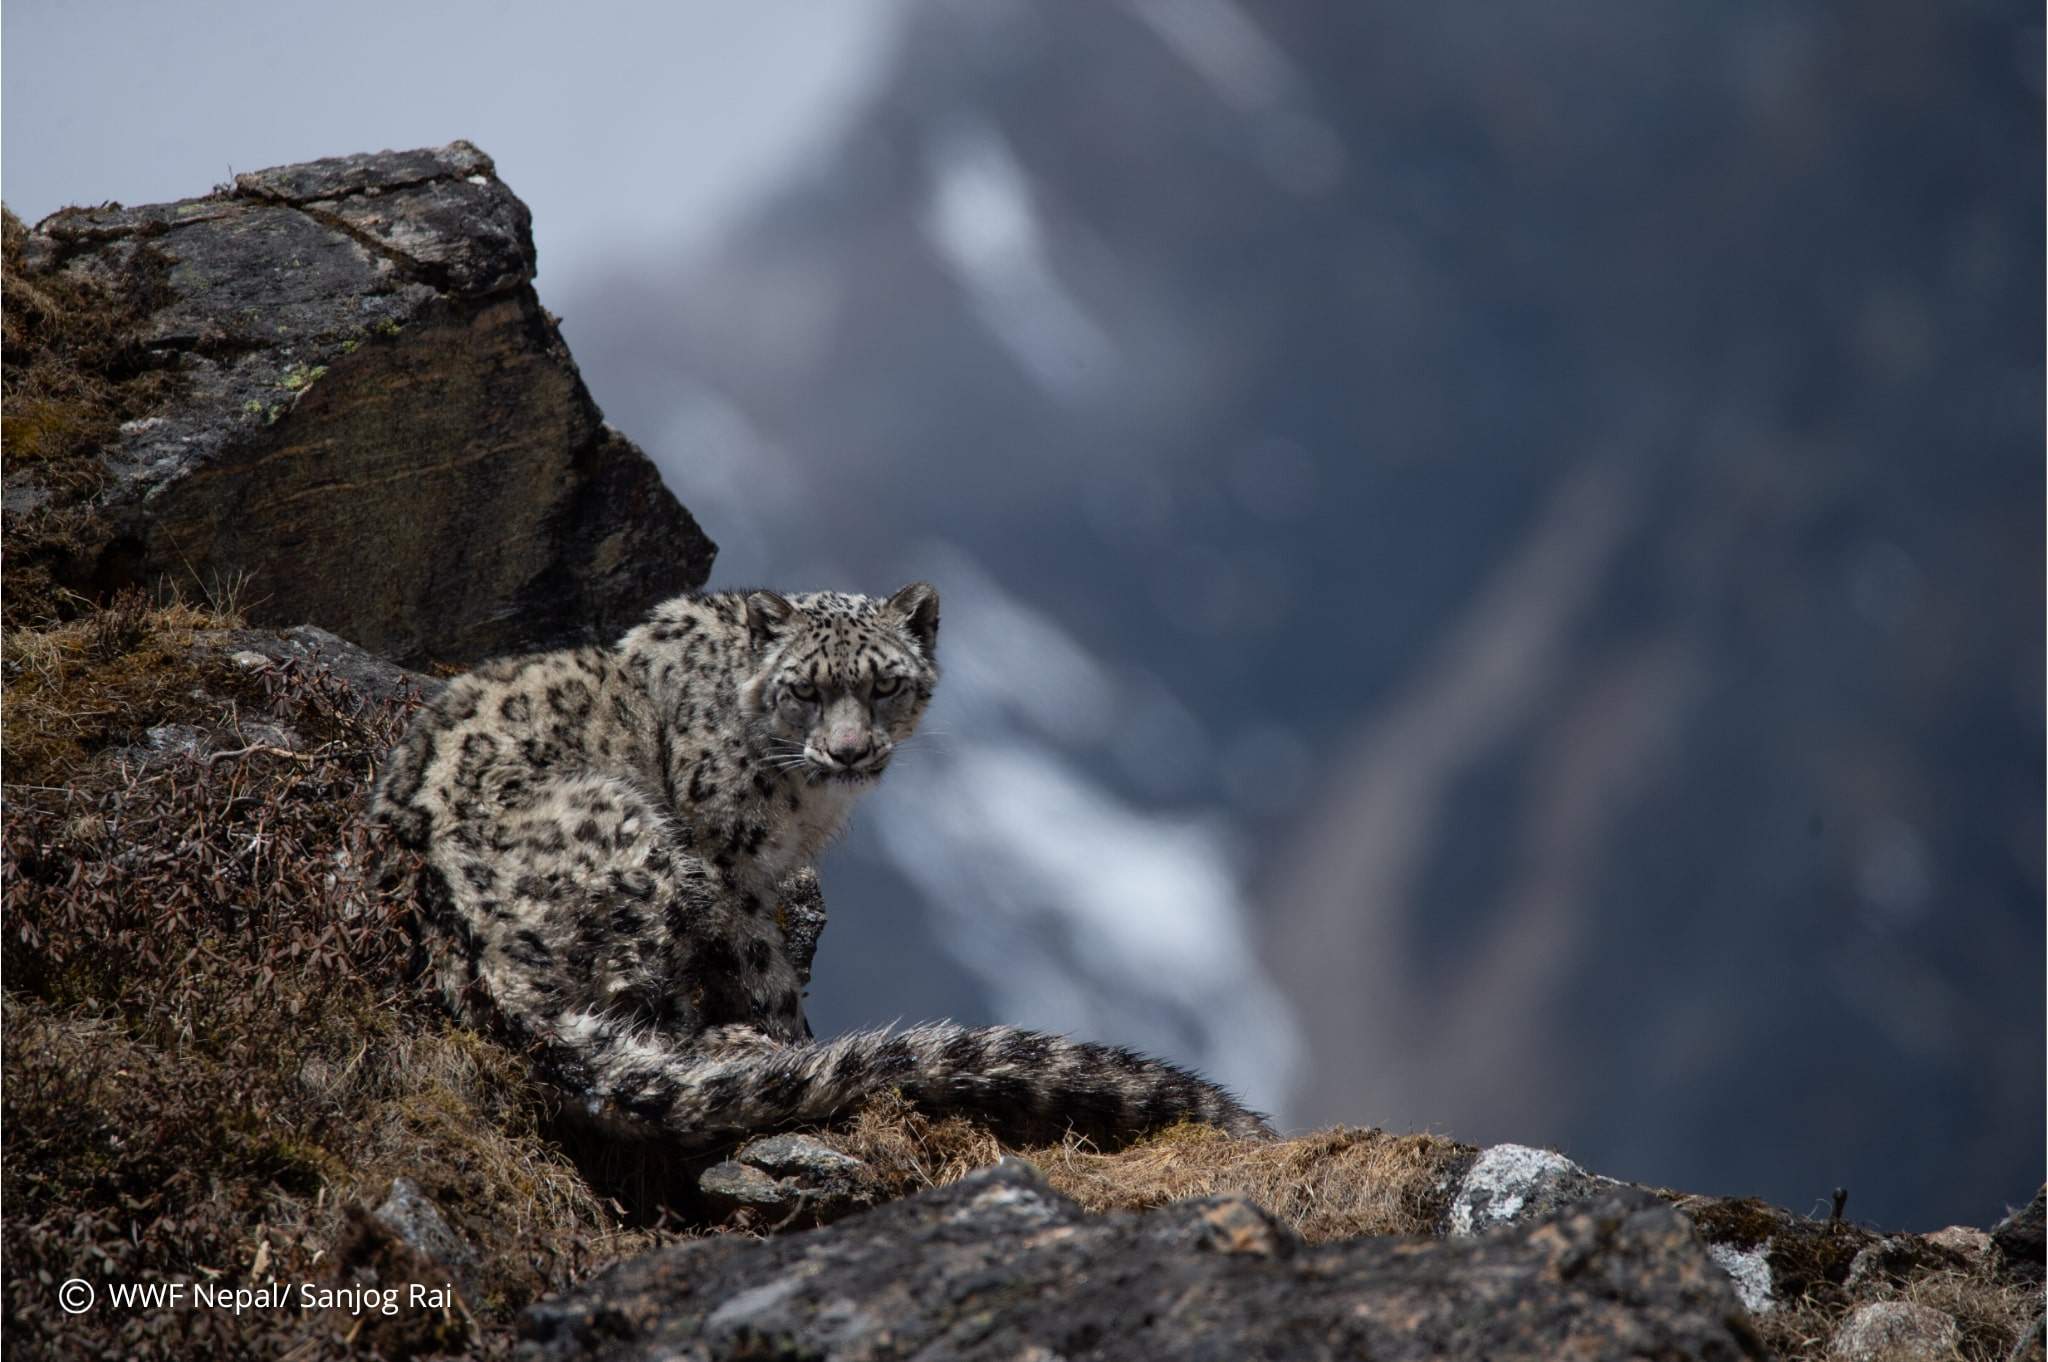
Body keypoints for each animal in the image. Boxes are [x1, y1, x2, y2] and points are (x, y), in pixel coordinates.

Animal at [368, 585, 1261, 1146]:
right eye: (805, 690)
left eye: (885, 685)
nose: (850, 750)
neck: (804, 805)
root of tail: (465, 948)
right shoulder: (732, 865)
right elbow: (766, 973)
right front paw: (791, 1040)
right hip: (635, 844)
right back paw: (728, 1045)